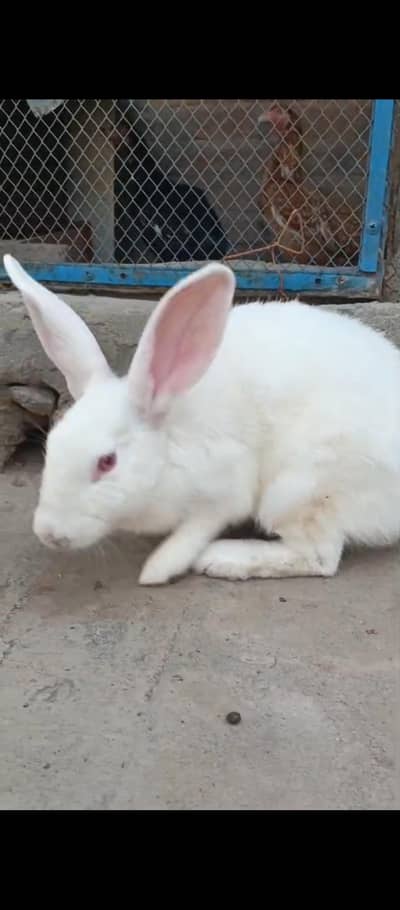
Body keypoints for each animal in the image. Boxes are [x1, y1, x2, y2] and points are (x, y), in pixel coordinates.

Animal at [4, 252, 400, 586]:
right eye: (51, 447)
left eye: (107, 462)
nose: (50, 534)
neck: (166, 445)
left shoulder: (225, 486)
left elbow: (195, 531)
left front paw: (158, 568)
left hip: (301, 488)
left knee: (319, 557)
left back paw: (224, 559)